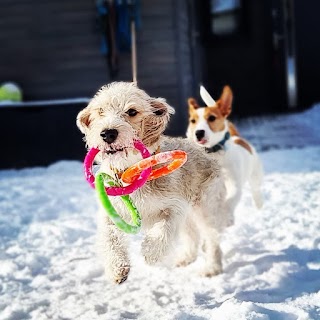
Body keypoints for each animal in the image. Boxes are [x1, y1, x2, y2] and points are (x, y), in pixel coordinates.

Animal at [75, 81, 230, 284]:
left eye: (132, 111)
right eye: (100, 111)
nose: (108, 133)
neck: (130, 171)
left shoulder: (174, 207)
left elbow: (164, 230)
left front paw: (151, 253)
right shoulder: (111, 212)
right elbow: (111, 239)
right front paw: (117, 269)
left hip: (205, 209)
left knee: (211, 239)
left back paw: (212, 268)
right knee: (192, 236)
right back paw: (185, 258)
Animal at [186, 85, 264, 216]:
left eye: (212, 118)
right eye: (193, 121)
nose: (199, 133)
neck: (214, 153)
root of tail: (237, 137)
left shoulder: (233, 183)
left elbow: (230, 200)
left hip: (255, 176)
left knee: (256, 192)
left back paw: (259, 207)